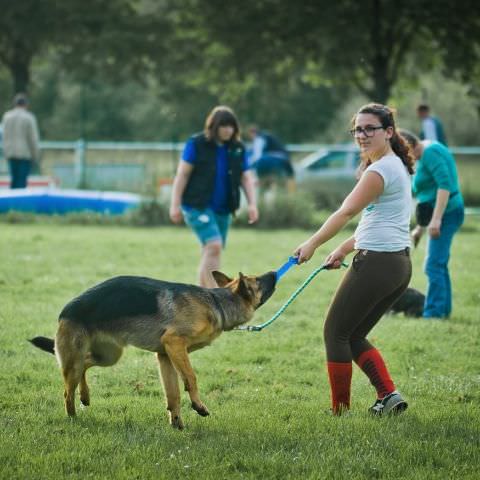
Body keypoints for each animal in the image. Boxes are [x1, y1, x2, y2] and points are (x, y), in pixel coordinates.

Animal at [30, 270, 276, 432]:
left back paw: (85, 395)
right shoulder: (174, 344)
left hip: (108, 356)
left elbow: (173, 393)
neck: (216, 303)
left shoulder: (165, 355)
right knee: (67, 392)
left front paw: (176, 423)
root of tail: (65, 311)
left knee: (86, 364)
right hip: (77, 360)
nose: (274, 272)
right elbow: (191, 378)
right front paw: (198, 406)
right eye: (258, 280)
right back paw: (73, 418)